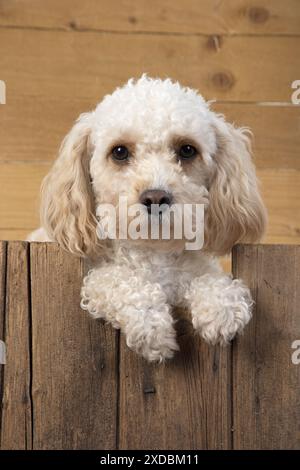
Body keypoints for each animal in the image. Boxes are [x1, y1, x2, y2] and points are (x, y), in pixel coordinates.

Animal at [28, 76, 268, 364]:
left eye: (187, 150)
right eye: (119, 151)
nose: (155, 197)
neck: (153, 253)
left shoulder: (193, 273)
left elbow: (209, 280)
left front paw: (221, 305)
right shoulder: (97, 278)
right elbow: (117, 281)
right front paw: (151, 326)